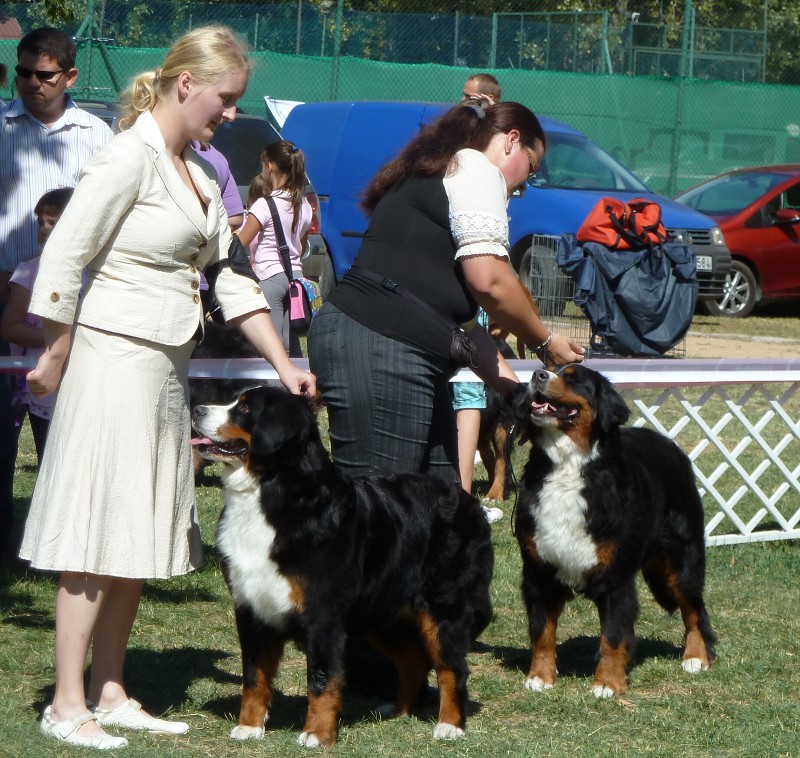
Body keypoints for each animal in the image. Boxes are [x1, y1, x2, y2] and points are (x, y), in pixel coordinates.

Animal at [192, 388, 494, 744]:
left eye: (244, 408)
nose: (196, 409)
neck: (270, 493)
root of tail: (469, 501)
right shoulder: (251, 608)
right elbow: (254, 676)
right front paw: (250, 726)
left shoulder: (323, 615)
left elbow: (322, 680)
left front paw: (316, 734)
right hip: (383, 612)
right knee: (413, 661)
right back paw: (398, 710)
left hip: (443, 607)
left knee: (451, 667)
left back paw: (449, 725)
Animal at [510, 366, 716, 696]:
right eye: (547, 369)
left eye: (573, 377)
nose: (537, 374)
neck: (568, 466)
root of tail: (673, 448)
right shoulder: (538, 571)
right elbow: (541, 631)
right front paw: (540, 677)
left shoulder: (616, 577)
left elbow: (615, 633)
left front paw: (607, 683)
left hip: (681, 560)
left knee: (695, 608)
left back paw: (696, 657)